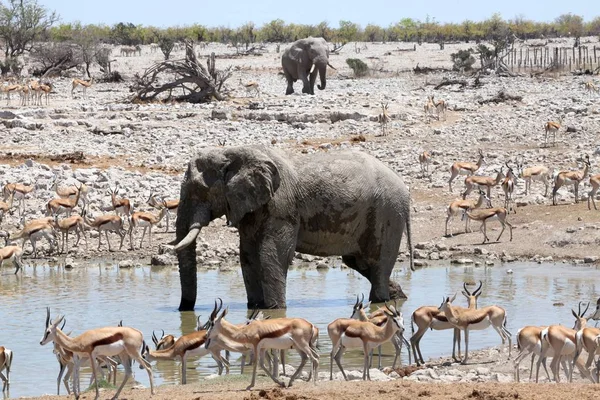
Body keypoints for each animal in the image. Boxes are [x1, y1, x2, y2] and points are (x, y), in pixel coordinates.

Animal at [169, 145, 412, 310]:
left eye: (199, 191)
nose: (183, 310)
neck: (231, 153)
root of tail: (404, 186)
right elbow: (247, 255)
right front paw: (255, 307)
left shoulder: (282, 206)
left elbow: (271, 254)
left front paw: (275, 311)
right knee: (358, 261)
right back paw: (398, 295)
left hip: (388, 212)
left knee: (376, 261)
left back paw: (381, 301)